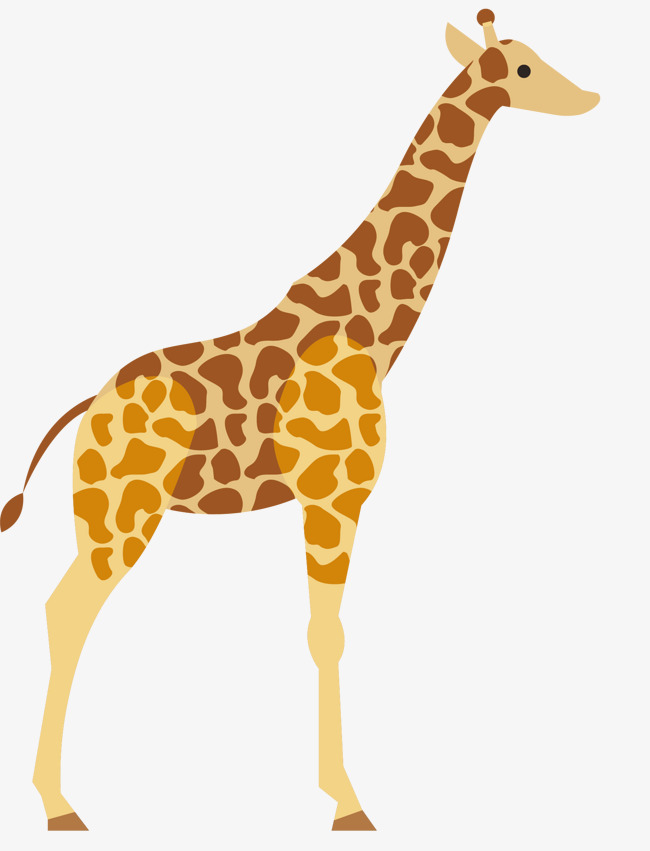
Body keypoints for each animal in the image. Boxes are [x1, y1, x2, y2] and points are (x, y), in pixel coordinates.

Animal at [0, 10, 599, 832]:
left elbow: (323, 632)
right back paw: (60, 806)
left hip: (110, 514)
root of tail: (87, 408)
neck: (371, 330)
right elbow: (327, 634)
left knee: (63, 610)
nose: (592, 98)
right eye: (526, 69)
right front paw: (349, 803)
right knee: (66, 612)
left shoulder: (327, 501)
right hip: (122, 513)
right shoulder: (334, 496)